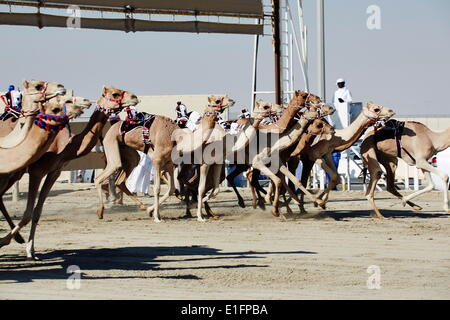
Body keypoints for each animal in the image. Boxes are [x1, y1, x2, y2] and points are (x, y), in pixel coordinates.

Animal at [0, 87, 139, 258]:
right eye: (115, 93)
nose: (134, 97)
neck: (65, 147)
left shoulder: (54, 172)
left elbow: (37, 211)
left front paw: (31, 249)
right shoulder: (37, 171)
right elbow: (28, 213)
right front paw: (18, 247)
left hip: (13, 174)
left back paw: (18, 238)